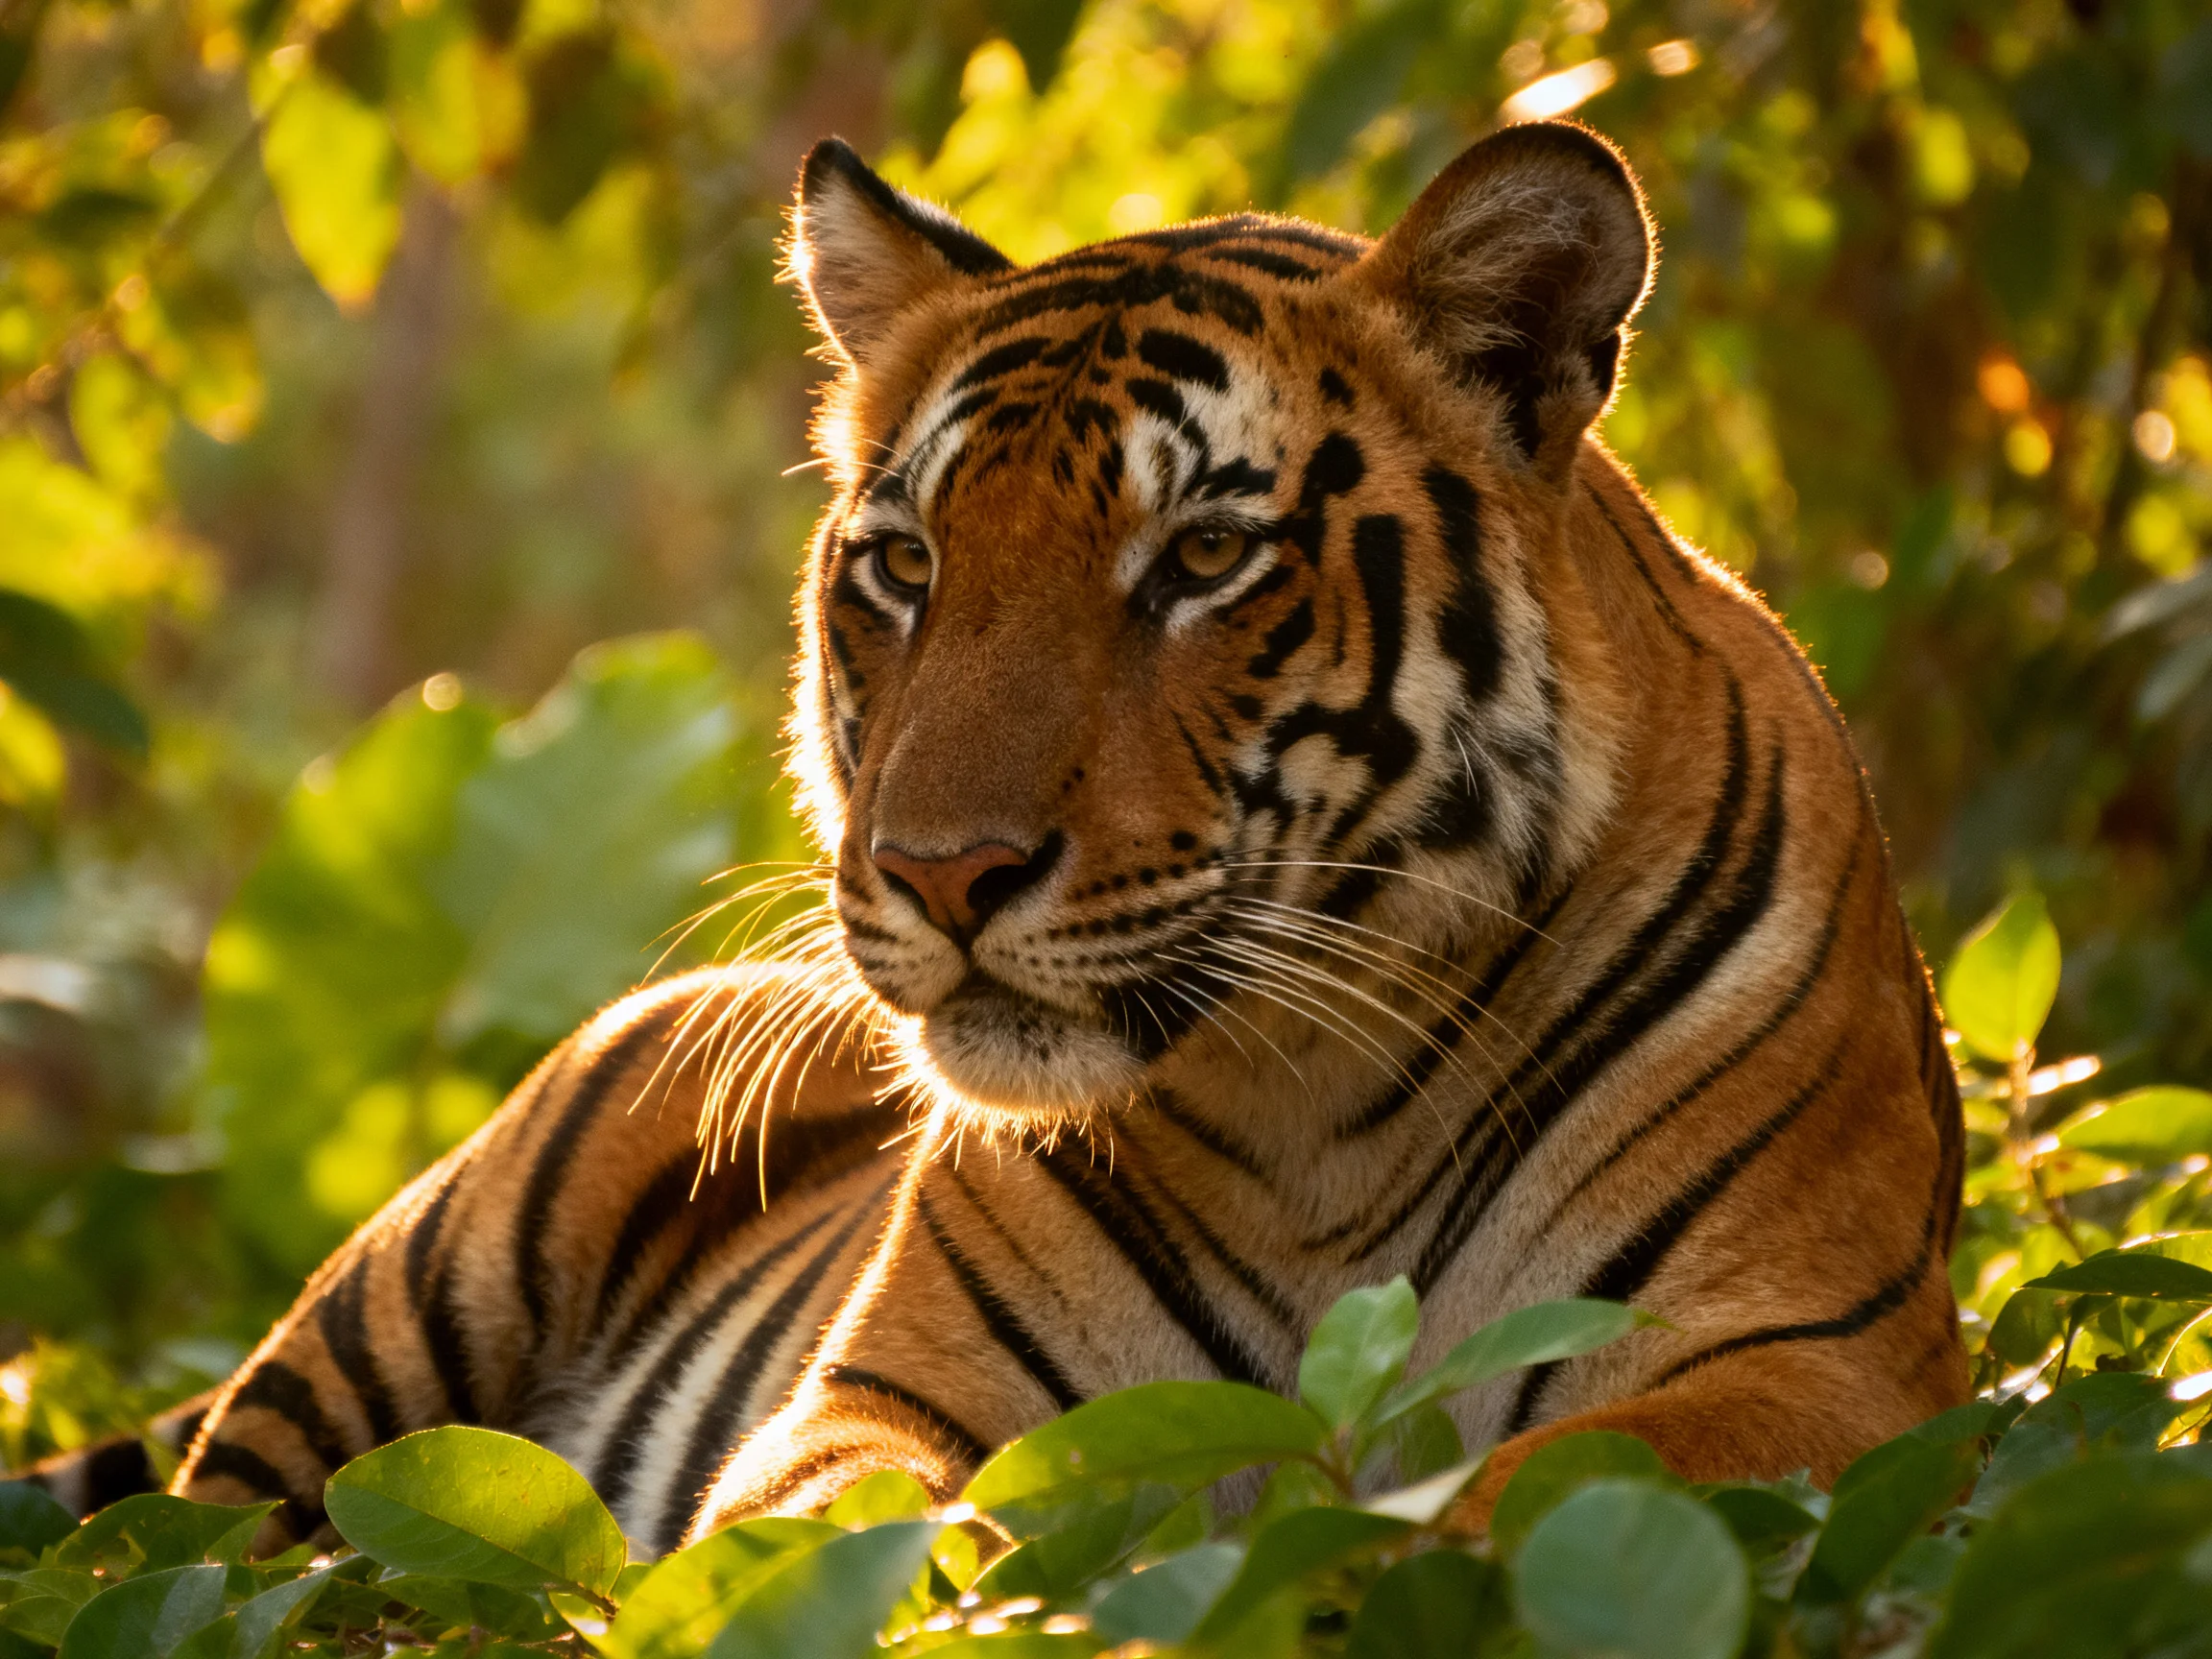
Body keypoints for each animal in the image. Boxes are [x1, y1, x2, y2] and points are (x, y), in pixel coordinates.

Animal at [23, 119, 1968, 1557]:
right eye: (907, 563)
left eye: (1203, 557)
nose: (940, 874)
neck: (1325, 1109)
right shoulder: (895, 1393)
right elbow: (853, 1532)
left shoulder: (1814, 1370)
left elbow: (1535, 1485)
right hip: (419, 1284)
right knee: (188, 1536)